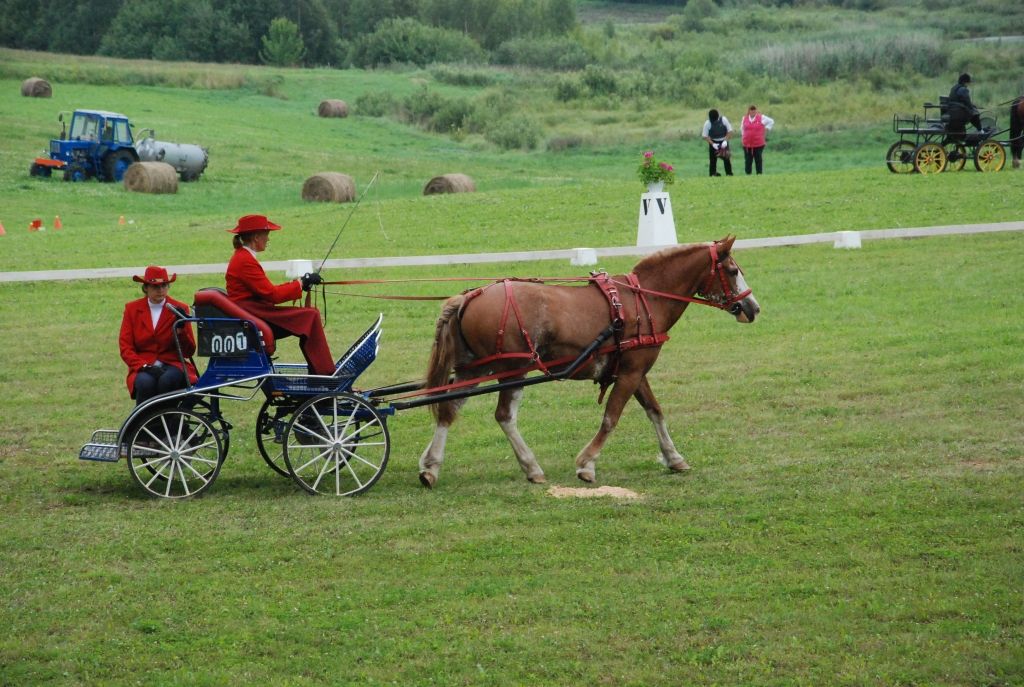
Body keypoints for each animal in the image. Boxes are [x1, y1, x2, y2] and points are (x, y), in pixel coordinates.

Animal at [415, 236, 761, 489]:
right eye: (733, 270)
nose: (752, 308)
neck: (644, 299)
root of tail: (470, 296)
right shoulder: (631, 373)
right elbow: (611, 418)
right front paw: (587, 465)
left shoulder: (636, 372)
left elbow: (655, 411)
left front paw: (674, 457)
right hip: (513, 369)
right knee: (504, 416)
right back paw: (531, 467)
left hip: (473, 368)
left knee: (448, 409)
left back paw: (431, 466)